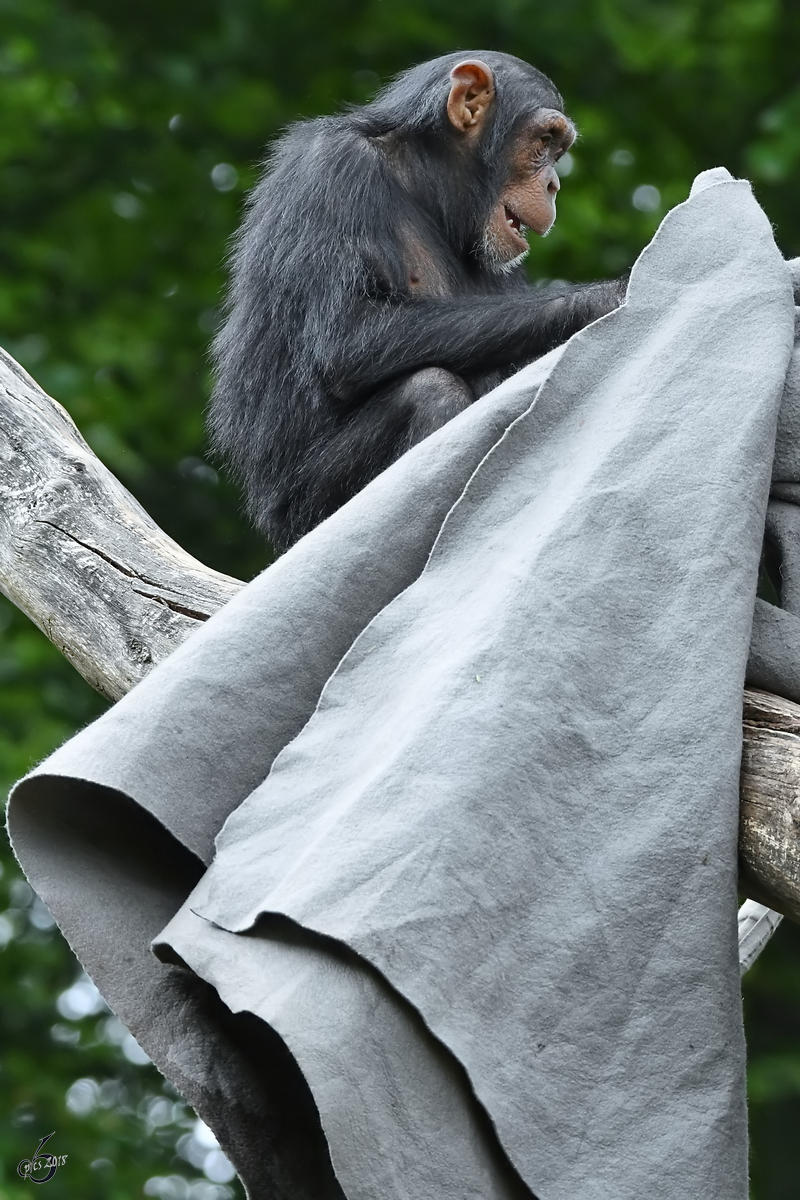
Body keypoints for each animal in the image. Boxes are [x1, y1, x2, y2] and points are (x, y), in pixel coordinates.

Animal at [209, 50, 628, 549]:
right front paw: (607, 297)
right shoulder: (330, 170)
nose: (552, 185)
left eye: (558, 150)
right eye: (544, 142)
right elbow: (346, 337)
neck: (424, 183)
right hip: (306, 512)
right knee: (430, 392)